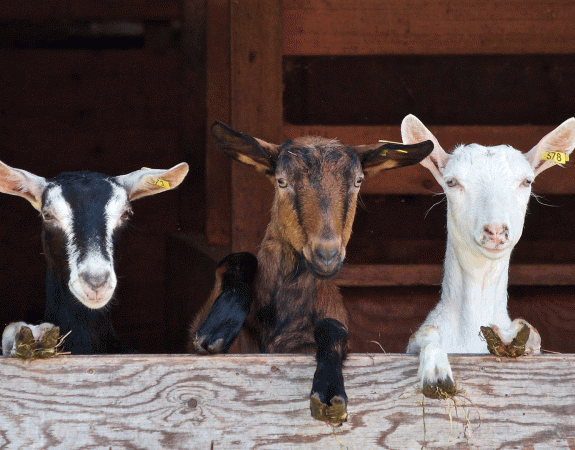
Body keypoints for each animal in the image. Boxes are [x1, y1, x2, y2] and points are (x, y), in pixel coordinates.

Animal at [191, 121, 434, 424]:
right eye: (281, 181)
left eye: (358, 181)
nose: (326, 255)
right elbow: (238, 258)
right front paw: (217, 328)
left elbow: (334, 328)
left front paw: (329, 392)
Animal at [400, 113, 575, 398]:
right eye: (451, 182)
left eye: (527, 181)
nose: (495, 230)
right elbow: (426, 331)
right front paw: (436, 374)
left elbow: (532, 335)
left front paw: (509, 336)